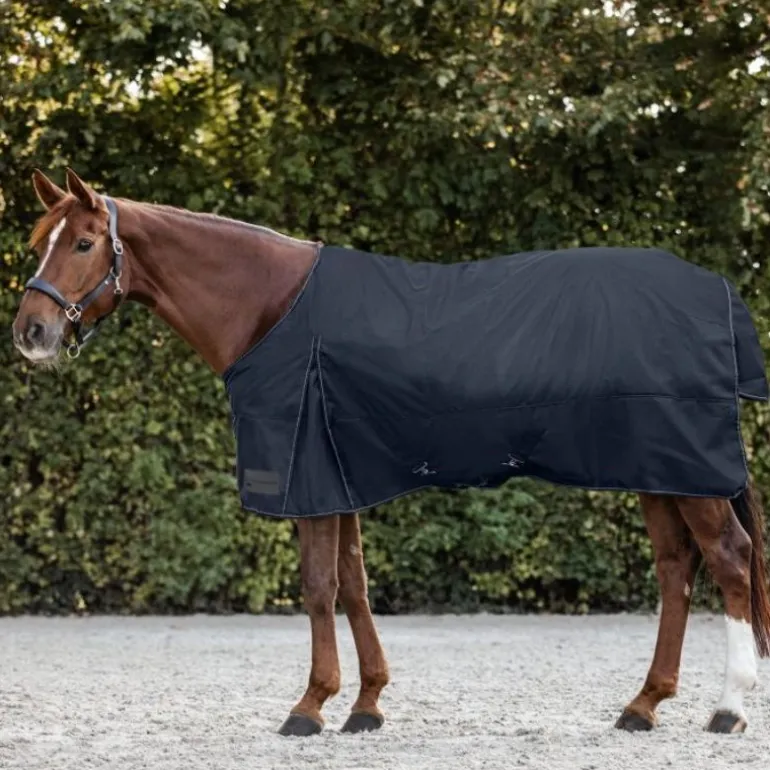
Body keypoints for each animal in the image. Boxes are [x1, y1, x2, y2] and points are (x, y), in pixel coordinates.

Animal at [12, 168, 770, 737]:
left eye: (84, 243)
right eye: (39, 242)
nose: (31, 331)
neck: (271, 306)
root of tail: (717, 292)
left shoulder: (310, 474)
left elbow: (319, 587)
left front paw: (310, 706)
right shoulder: (337, 474)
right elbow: (353, 585)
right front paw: (367, 703)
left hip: (688, 472)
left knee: (730, 559)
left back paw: (728, 708)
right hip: (658, 471)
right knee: (676, 569)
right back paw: (643, 705)